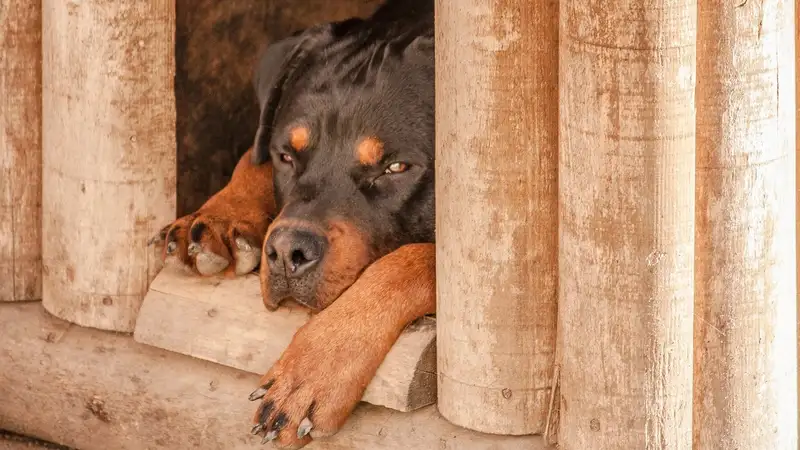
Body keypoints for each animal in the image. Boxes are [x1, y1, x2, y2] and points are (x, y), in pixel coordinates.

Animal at [153, 1, 434, 448]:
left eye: (396, 168)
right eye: (286, 155)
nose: (287, 252)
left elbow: (413, 260)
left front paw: (312, 371)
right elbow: (251, 157)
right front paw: (217, 215)